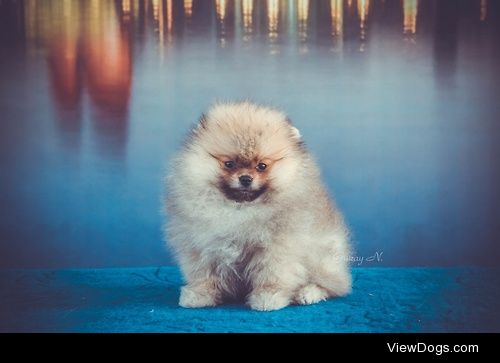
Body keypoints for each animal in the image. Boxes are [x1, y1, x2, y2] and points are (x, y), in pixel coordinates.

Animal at [165, 102, 352, 312]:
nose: (245, 178)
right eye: (229, 164)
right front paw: (199, 295)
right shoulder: (202, 246)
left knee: (334, 285)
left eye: (262, 166)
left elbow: (272, 274)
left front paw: (268, 298)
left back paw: (308, 293)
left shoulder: (276, 248)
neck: (240, 209)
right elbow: (203, 274)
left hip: (325, 259)